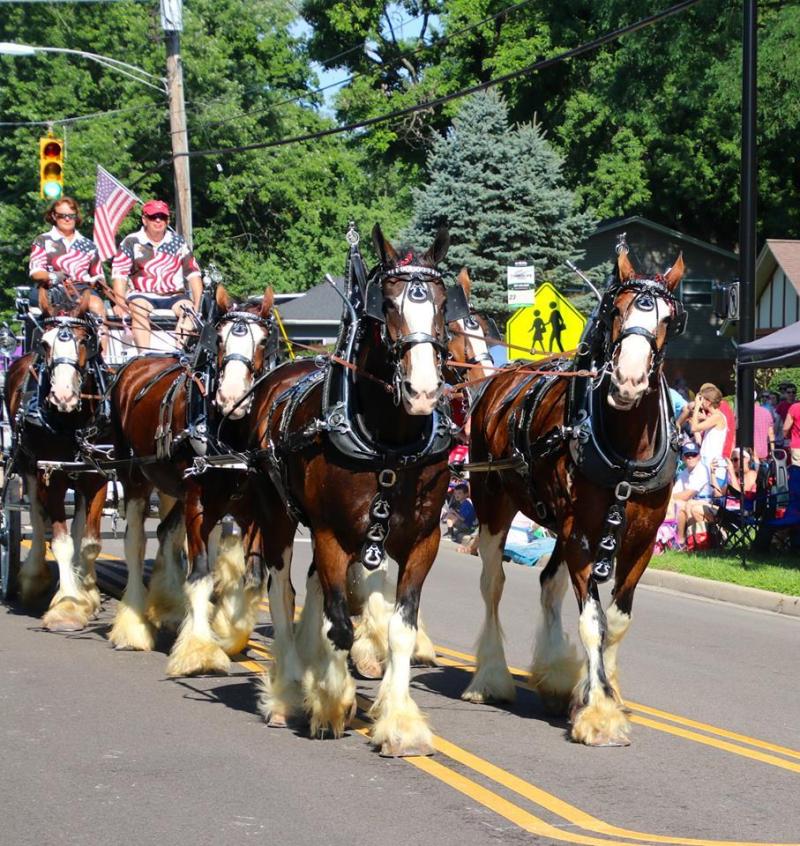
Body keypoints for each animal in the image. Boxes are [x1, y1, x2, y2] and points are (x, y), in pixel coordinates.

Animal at [3, 290, 108, 628]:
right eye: (45, 344)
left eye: (85, 341)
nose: (63, 396)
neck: (71, 421)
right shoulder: (52, 475)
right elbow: (60, 541)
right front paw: (68, 605)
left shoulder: (97, 475)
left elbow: (89, 542)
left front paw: (87, 595)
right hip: (27, 466)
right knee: (37, 518)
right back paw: (33, 576)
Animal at [106, 288, 276, 680]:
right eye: (222, 338)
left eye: (263, 340)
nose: (230, 397)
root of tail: (134, 365)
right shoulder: (199, 502)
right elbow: (199, 573)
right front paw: (200, 651)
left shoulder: (251, 508)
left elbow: (252, 577)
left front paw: (228, 632)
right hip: (135, 478)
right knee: (136, 542)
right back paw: (133, 626)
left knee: (168, 533)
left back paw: (168, 607)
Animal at [248, 224, 476, 756]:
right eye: (387, 304)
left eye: (441, 304)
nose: (423, 391)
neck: (386, 439)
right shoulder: (332, 534)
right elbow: (339, 622)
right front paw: (333, 704)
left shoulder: (423, 539)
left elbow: (399, 628)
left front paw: (399, 722)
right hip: (276, 515)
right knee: (282, 591)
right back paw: (289, 691)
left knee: (312, 587)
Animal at [462, 248, 688, 744]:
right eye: (615, 311)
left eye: (668, 318)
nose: (627, 381)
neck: (625, 447)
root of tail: (500, 378)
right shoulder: (582, 535)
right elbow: (592, 621)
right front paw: (599, 713)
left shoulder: (639, 539)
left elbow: (616, 622)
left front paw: (603, 692)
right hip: (493, 504)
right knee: (492, 584)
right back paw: (490, 678)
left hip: (558, 526)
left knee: (549, 583)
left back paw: (554, 677)